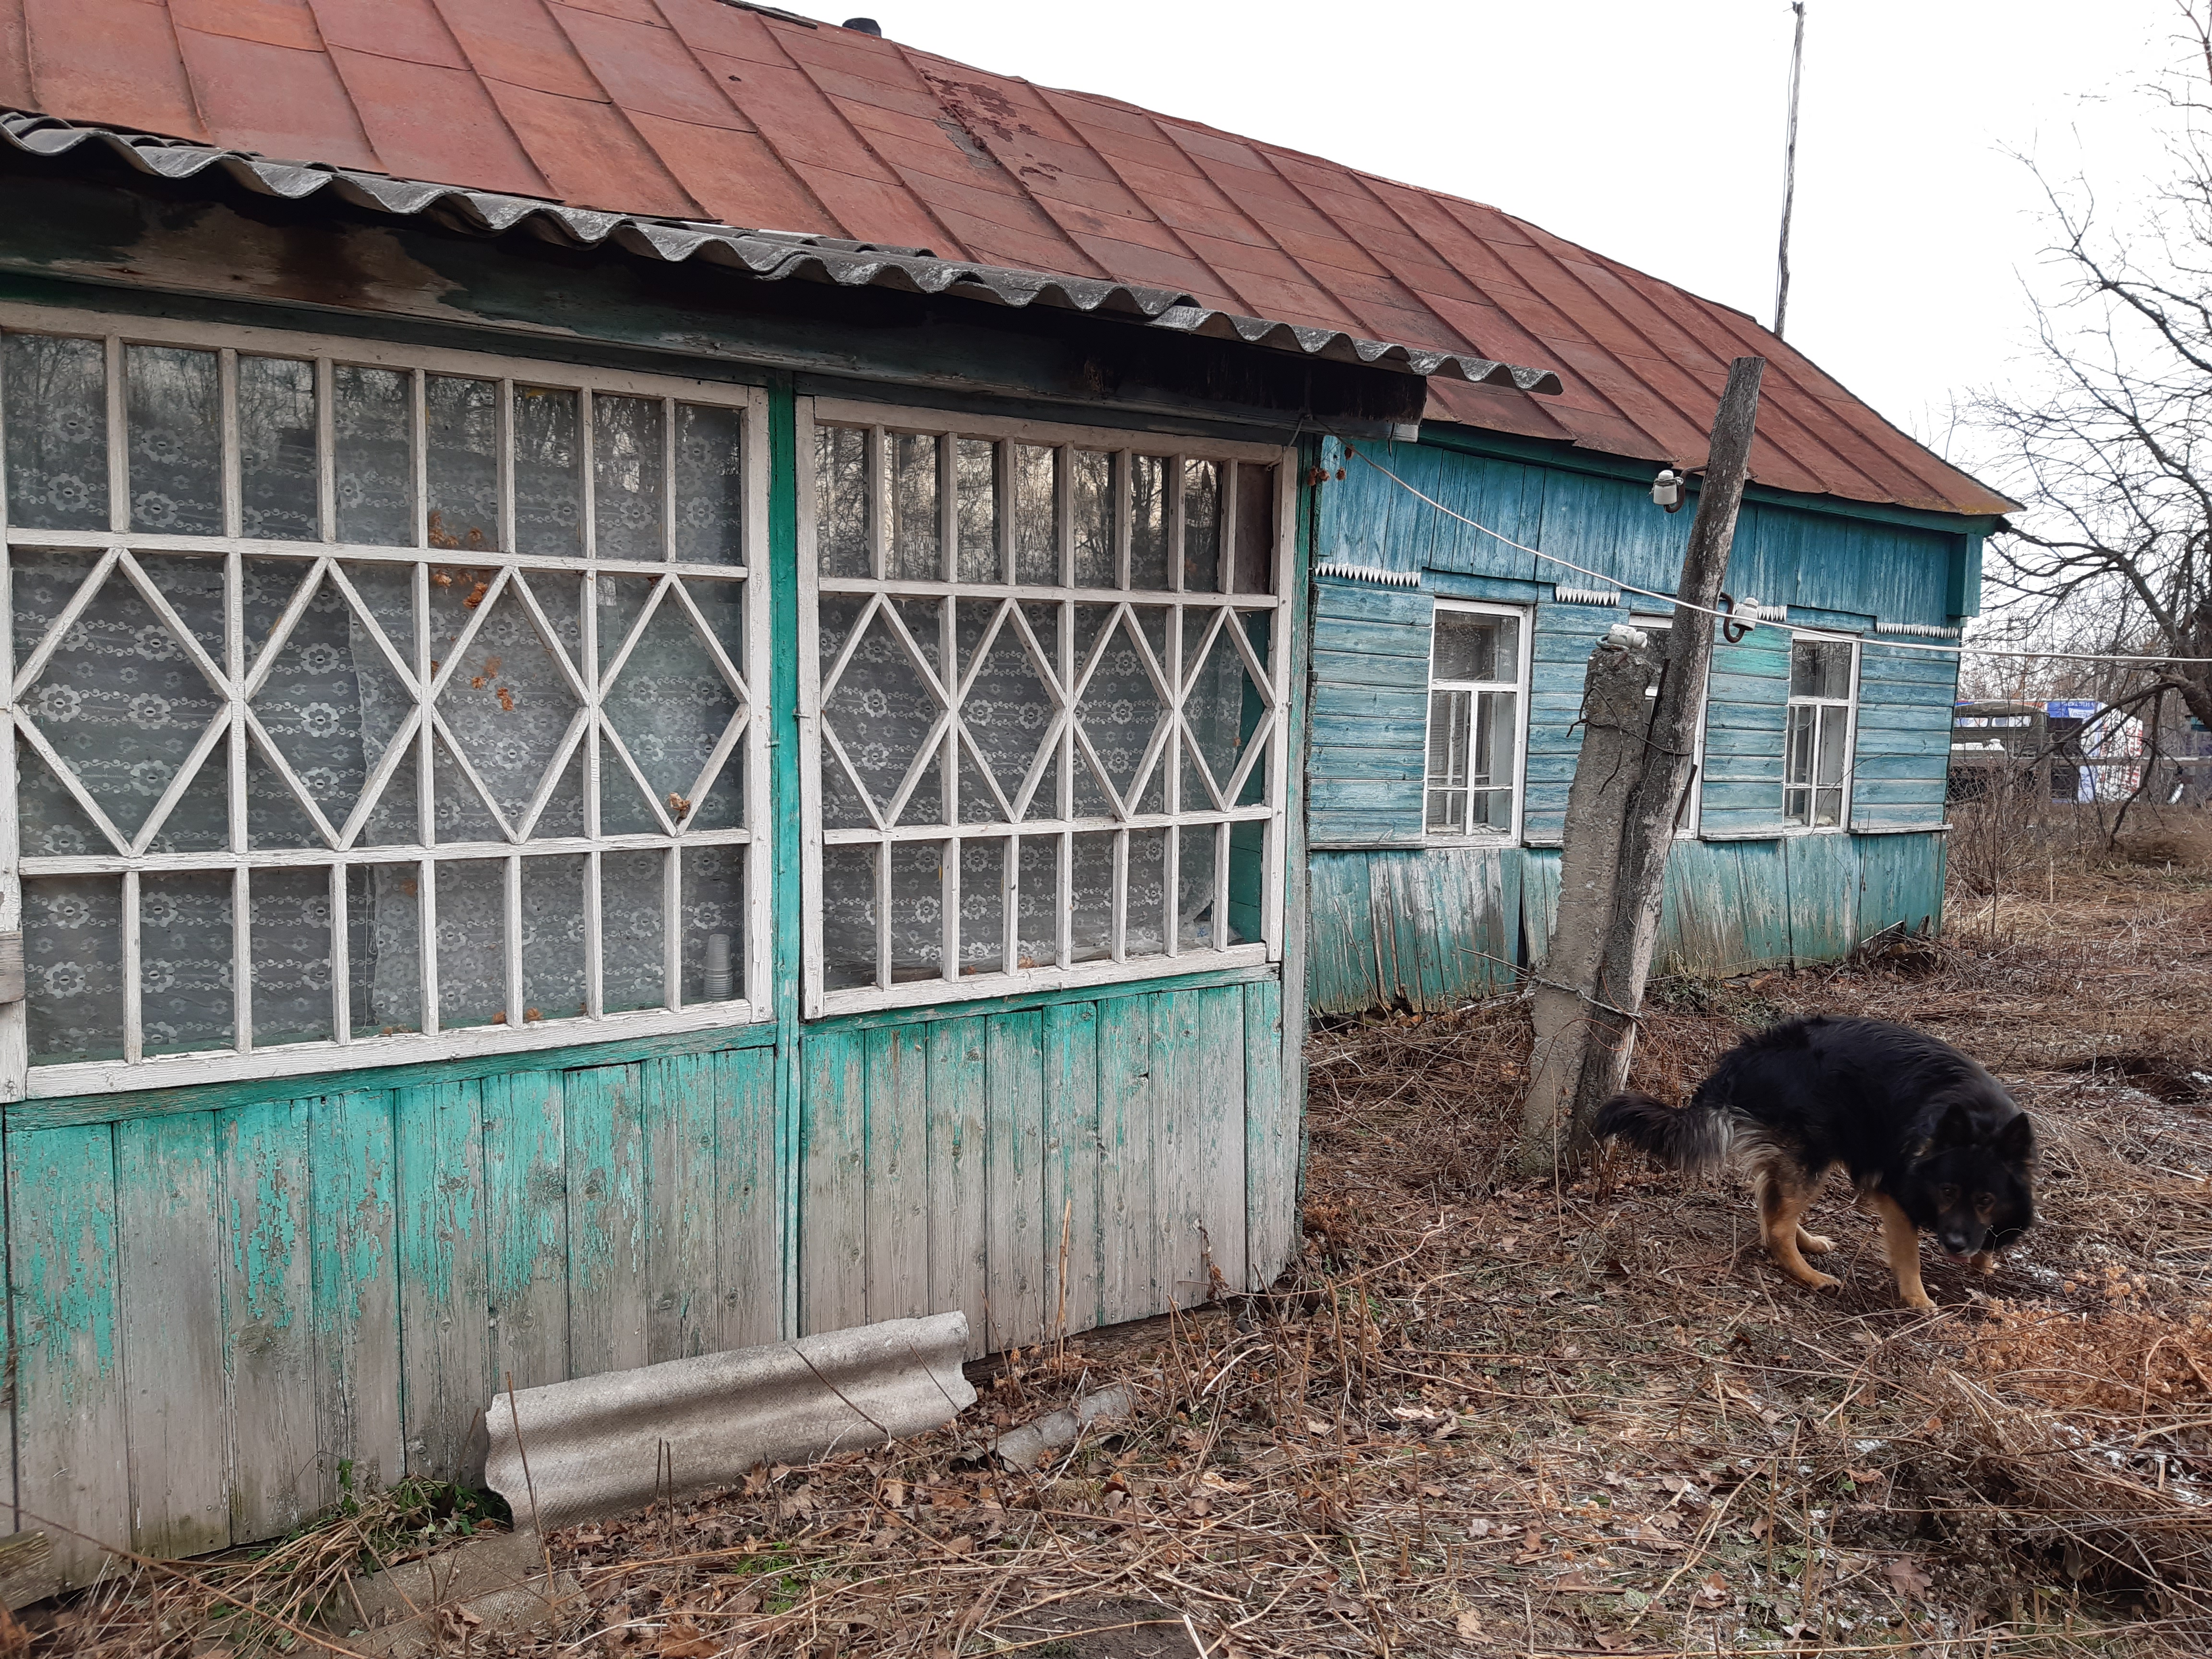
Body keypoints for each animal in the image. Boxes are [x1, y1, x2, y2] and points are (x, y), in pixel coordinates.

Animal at [1592, 1013, 2035, 1309]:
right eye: (1947, 1191)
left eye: (1985, 1200)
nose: (1957, 1246)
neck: (1982, 1117)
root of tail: (1742, 1059)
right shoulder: (1896, 1190)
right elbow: (1909, 1254)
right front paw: (1919, 1299)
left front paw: (1983, 1263)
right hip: (1812, 1153)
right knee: (1776, 1227)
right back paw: (1809, 1275)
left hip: (1795, 1151)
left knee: (1769, 1204)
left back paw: (1808, 1242)